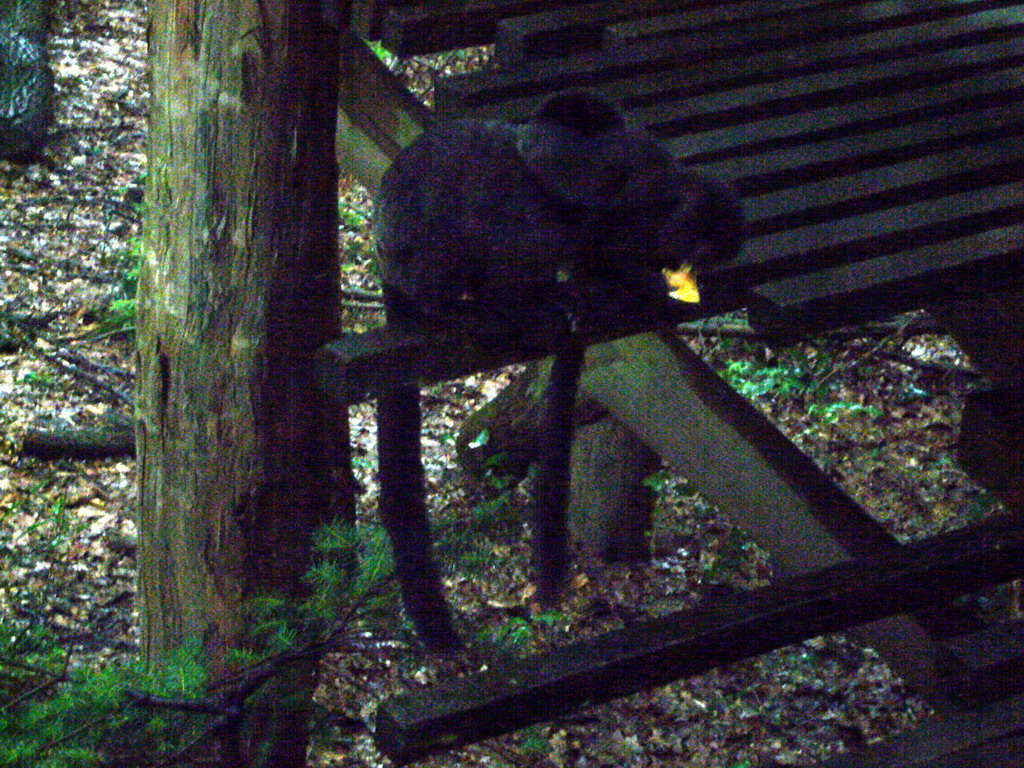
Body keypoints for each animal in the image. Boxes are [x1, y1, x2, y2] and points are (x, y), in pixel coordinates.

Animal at [372, 93, 741, 651]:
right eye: (700, 250)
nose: (695, 269)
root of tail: (392, 273)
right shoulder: (607, 175)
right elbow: (536, 193)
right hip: (423, 261)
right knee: (503, 221)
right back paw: (481, 303)